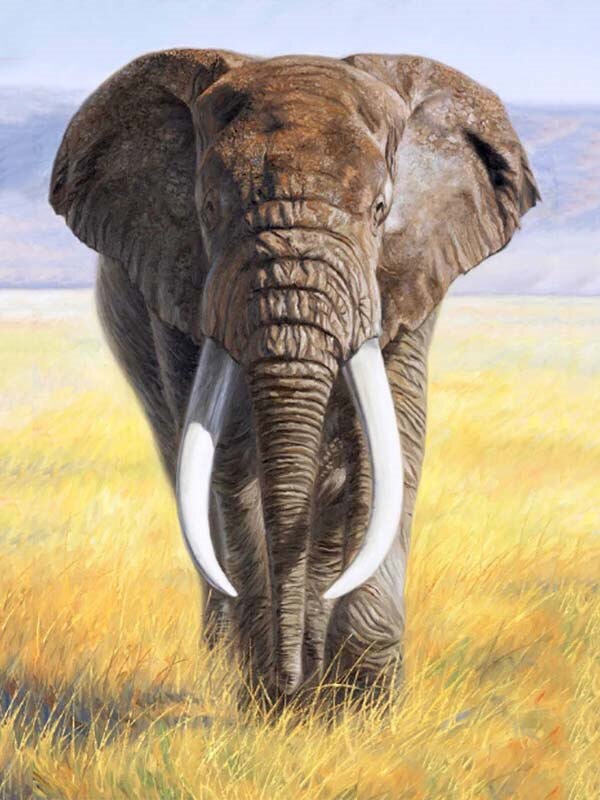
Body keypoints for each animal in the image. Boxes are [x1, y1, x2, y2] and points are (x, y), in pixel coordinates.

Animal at [49, 50, 539, 704]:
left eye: (380, 211)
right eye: (207, 210)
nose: (287, 683)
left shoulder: (408, 277)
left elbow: (392, 444)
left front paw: (359, 704)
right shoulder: (179, 290)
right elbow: (230, 452)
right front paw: (270, 698)